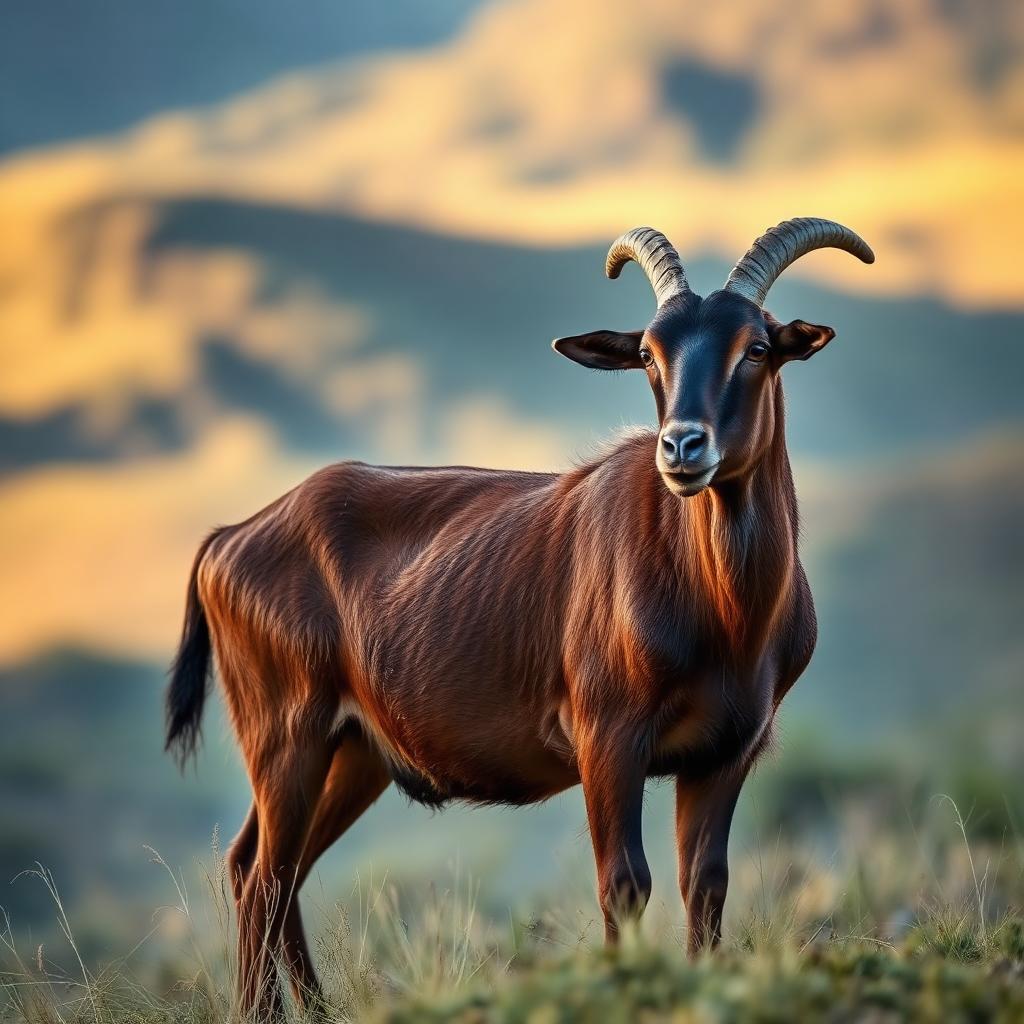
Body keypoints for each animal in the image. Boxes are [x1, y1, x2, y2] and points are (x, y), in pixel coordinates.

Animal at [165, 217, 874, 1015]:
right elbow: (625, 883)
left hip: (352, 752)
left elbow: (706, 884)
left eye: (755, 346)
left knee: (266, 870)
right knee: (265, 876)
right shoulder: (608, 739)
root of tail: (229, 539)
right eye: (649, 353)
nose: (683, 447)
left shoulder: (726, 752)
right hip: (287, 736)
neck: (725, 617)